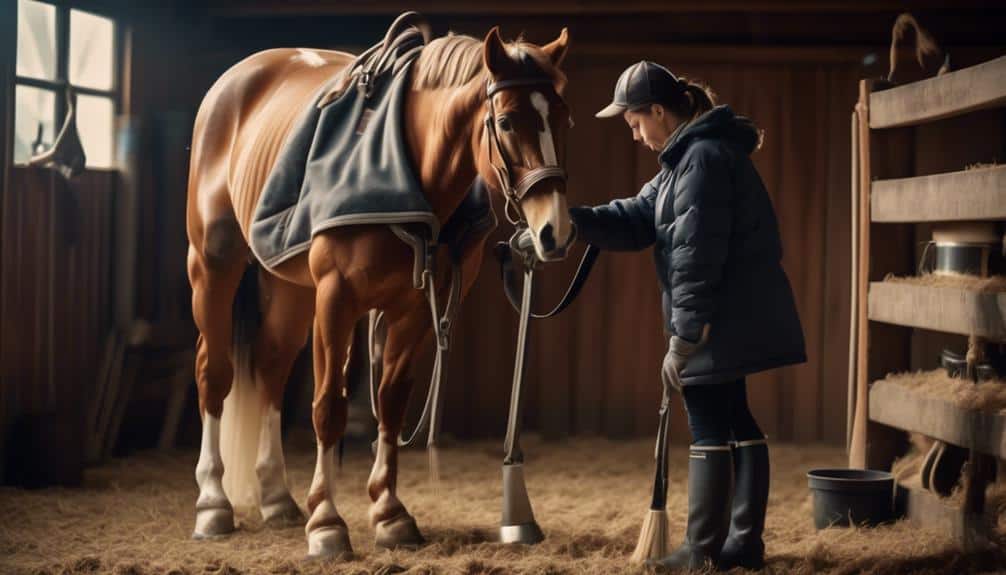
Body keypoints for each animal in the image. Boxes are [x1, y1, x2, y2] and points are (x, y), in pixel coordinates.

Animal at [185, 23, 575, 558]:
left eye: (563, 119)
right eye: (508, 122)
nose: (555, 231)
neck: (410, 168)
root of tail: (233, 82)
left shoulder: (416, 310)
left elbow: (390, 403)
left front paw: (390, 515)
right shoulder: (336, 300)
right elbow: (328, 406)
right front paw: (327, 524)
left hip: (288, 288)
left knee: (270, 368)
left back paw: (277, 498)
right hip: (213, 265)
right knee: (214, 373)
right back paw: (212, 503)